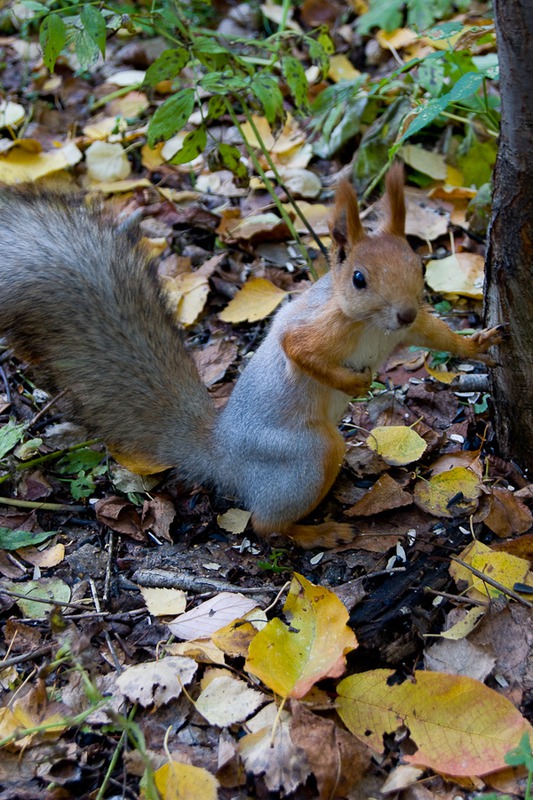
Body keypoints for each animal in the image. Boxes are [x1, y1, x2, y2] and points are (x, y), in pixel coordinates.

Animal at [0, 168, 502, 552]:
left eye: (419, 265)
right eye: (359, 278)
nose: (403, 311)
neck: (374, 327)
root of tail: (224, 454)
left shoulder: (411, 328)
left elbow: (437, 335)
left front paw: (479, 344)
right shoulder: (317, 330)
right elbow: (298, 351)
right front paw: (354, 384)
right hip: (305, 454)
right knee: (265, 524)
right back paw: (318, 532)